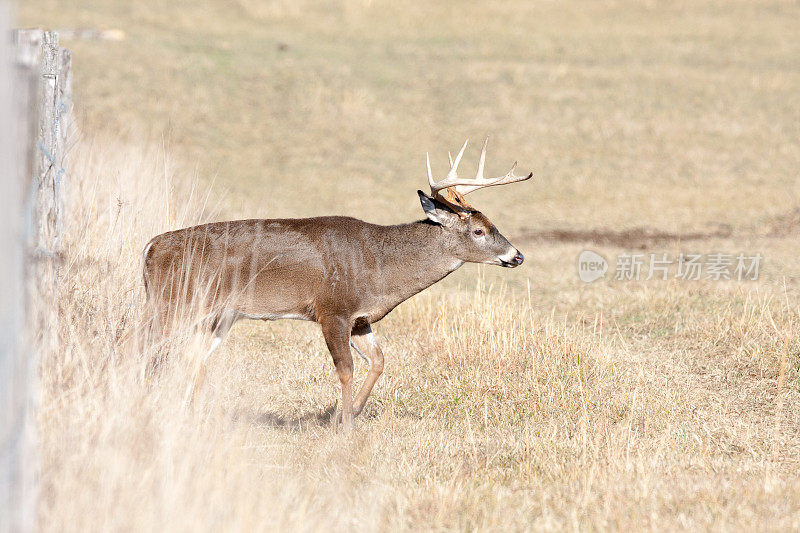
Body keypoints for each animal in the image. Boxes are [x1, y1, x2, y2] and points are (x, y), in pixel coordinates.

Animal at [144, 137, 532, 428]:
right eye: (479, 230)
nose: (517, 256)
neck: (380, 266)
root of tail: (149, 248)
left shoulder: (360, 318)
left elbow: (379, 361)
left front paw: (345, 416)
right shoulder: (332, 309)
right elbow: (345, 369)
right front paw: (344, 425)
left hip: (215, 315)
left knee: (191, 356)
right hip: (172, 301)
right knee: (143, 343)